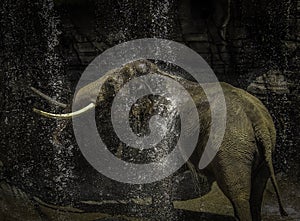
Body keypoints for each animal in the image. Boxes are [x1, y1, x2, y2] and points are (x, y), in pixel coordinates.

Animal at [31, 59, 288, 220]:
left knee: (238, 192)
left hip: (230, 146)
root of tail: (259, 122)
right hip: (261, 146)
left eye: (111, 85)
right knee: (257, 191)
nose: (56, 141)